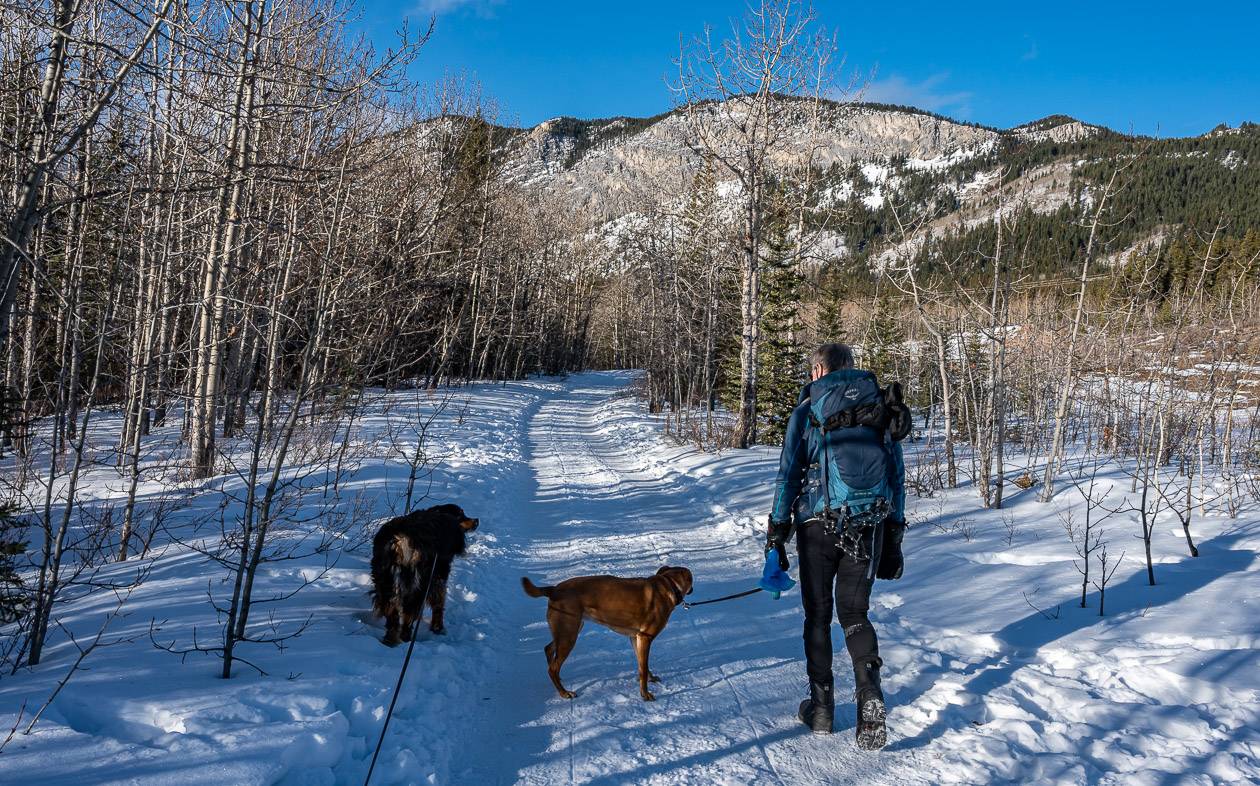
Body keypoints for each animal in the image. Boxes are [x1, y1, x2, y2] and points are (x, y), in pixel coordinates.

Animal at [370, 503, 478, 644]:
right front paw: (438, 628)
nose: (477, 520)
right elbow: (439, 604)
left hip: (384, 581)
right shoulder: (438, 577)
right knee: (408, 614)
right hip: (418, 585)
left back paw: (390, 640)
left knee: (392, 614)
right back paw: (406, 638)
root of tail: (399, 539)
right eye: (461, 515)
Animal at [524, 564, 700, 700]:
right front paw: (645, 695)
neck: (669, 584)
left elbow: (642, 666)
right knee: (552, 668)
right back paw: (564, 692)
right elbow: (643, 668)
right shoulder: (645, 637)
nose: (693, 588)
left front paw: (649, 680)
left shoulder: (636, 638)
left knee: (548, 650)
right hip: (569, 634)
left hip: (567, 631)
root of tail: (554, 589)